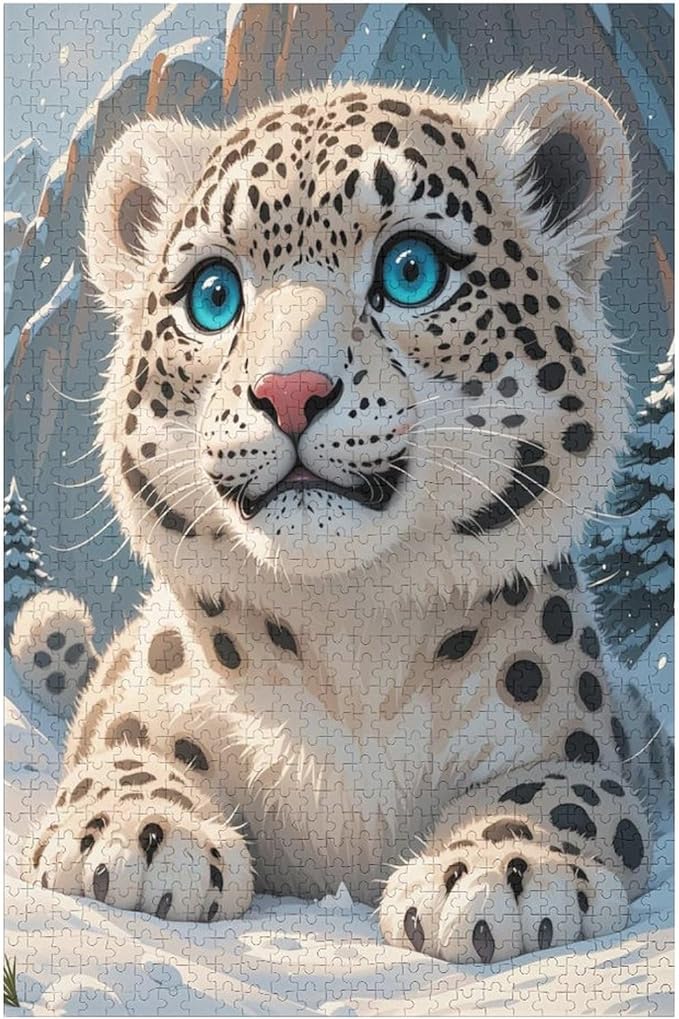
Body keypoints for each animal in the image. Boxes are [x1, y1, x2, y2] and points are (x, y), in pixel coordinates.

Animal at [12, 71, 671, 964]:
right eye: (214, 294)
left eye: (411, 268)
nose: (290, 390)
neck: (347, 639)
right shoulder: (130, 706)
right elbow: (120, 752)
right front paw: (138, 837)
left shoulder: (580, 740)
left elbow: (561, 790)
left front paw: (501, 876)